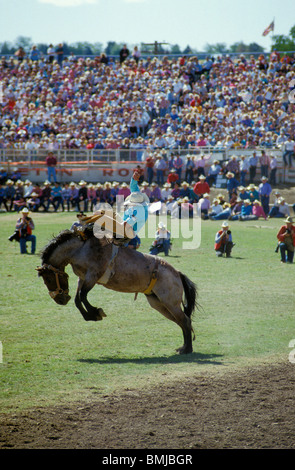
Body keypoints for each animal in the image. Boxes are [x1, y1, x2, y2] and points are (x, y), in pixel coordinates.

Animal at [37, 228, 199, 352]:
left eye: (49, 279)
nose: (60, 300)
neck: (81, 249)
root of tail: (177, 273)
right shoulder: (82, 279)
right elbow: (78, 299)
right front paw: (90, 315)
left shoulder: (92, 276)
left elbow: (83, 296)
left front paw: (96, 313)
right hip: (158, 303)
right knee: (182, 321)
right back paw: (184, 347)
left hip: (170, 302)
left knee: (185, 321)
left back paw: (187, 350)